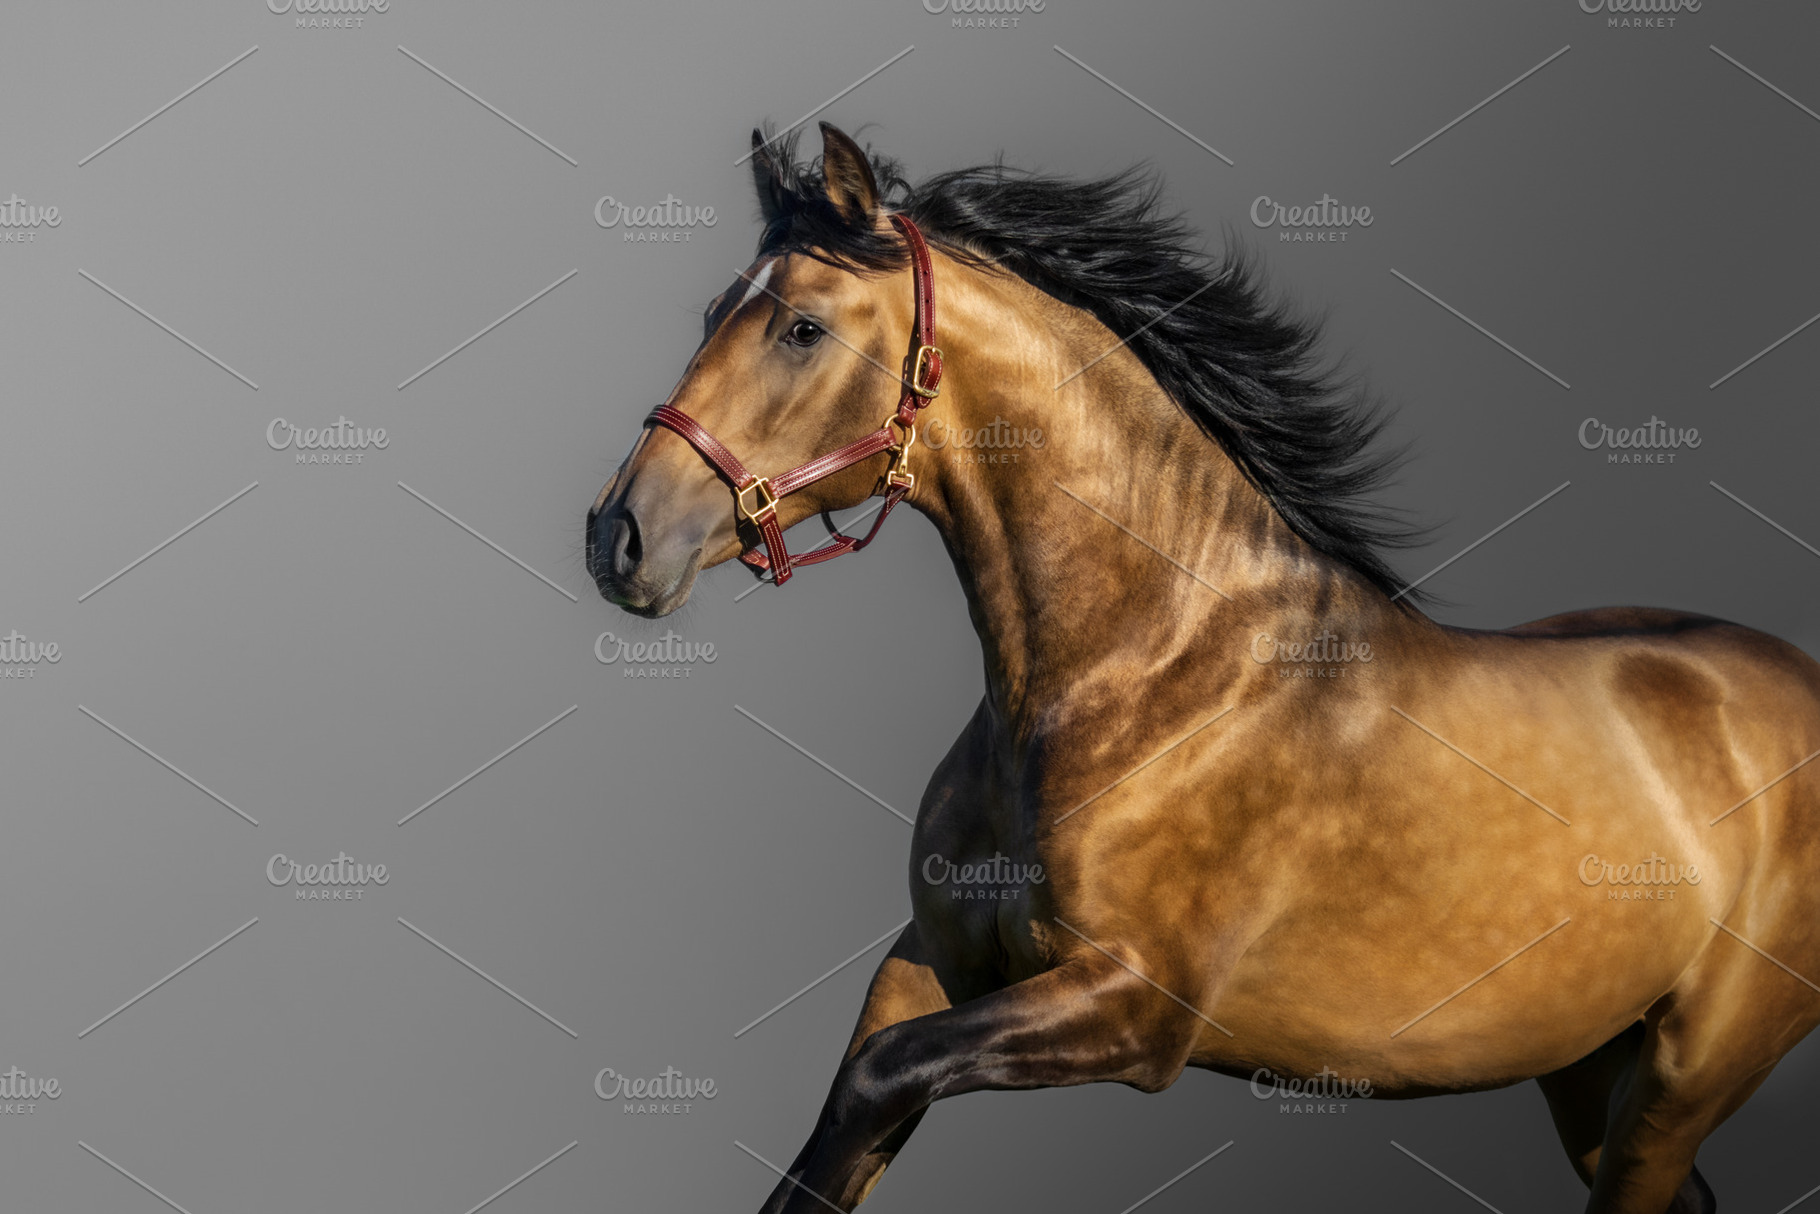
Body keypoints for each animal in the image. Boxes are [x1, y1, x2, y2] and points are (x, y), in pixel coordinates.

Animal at [585, 122, 1820, 1214]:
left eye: (799, 328)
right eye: (714, 312)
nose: (620, 537)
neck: (1142, 672)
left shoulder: (1134, 1007)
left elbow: (874, 1080)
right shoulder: (931, 961)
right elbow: (840, 1125)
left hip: (1683, 1076)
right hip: (1580, 1066)